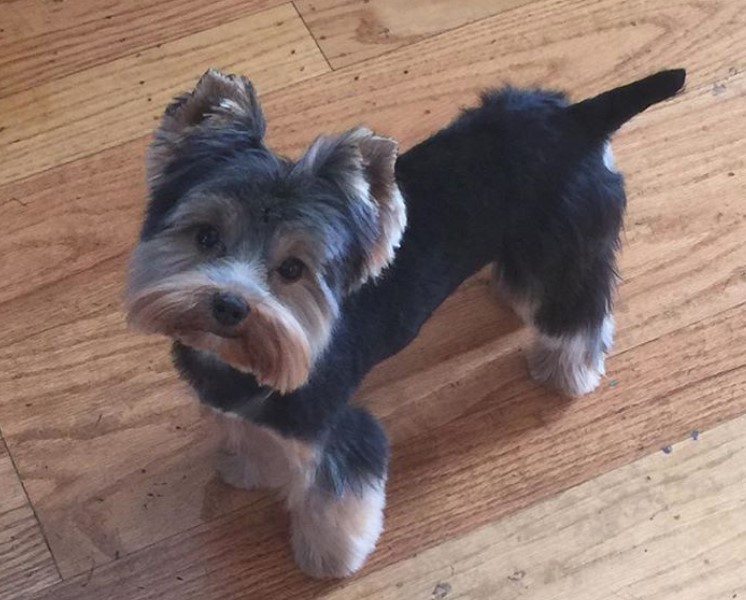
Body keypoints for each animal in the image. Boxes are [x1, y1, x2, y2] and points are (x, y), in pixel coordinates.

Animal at [125, 68, 684, 580]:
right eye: (206, 236)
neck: (235, 360)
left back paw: (566, 373)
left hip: (569, 242)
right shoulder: (248, 407)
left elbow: (338, 500)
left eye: (293, 269)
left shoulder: (334, 428)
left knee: (581, 311)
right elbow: (251, 435)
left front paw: (328, 560)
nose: (229, 305)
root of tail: (578, 119)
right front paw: (249, 468)